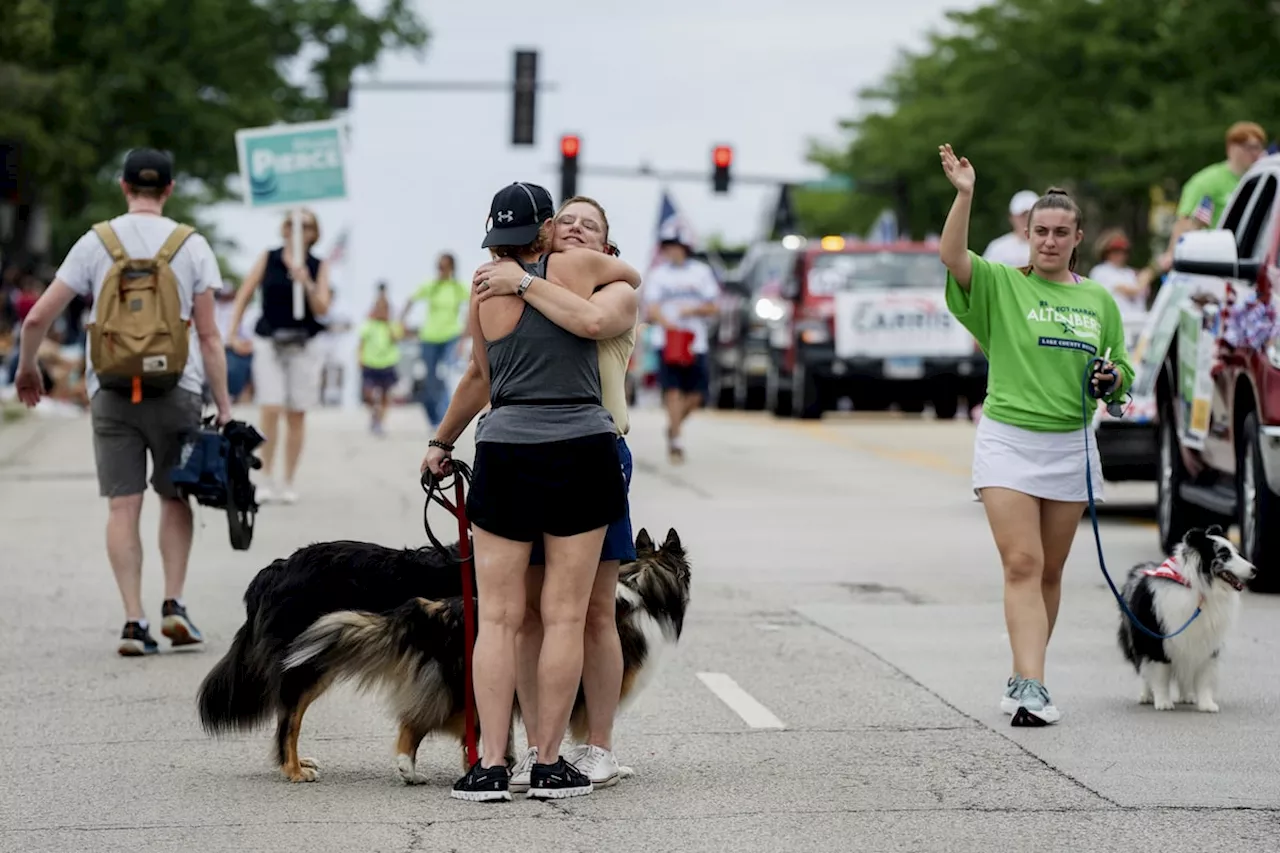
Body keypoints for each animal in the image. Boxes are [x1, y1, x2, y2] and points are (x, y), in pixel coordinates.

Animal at [1116, 525, 1254, 712]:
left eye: (1237, 553)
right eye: (1224, 556)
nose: (1254, 569)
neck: (1199, 589)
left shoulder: (1207, 643)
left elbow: (1204, 676)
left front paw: (1207, 704)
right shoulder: (1158, 642)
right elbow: (1160, 674)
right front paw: (1163, 702)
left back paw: (1187, 696)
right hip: (1138, 638)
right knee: (1144, 669)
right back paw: (1147, 696)